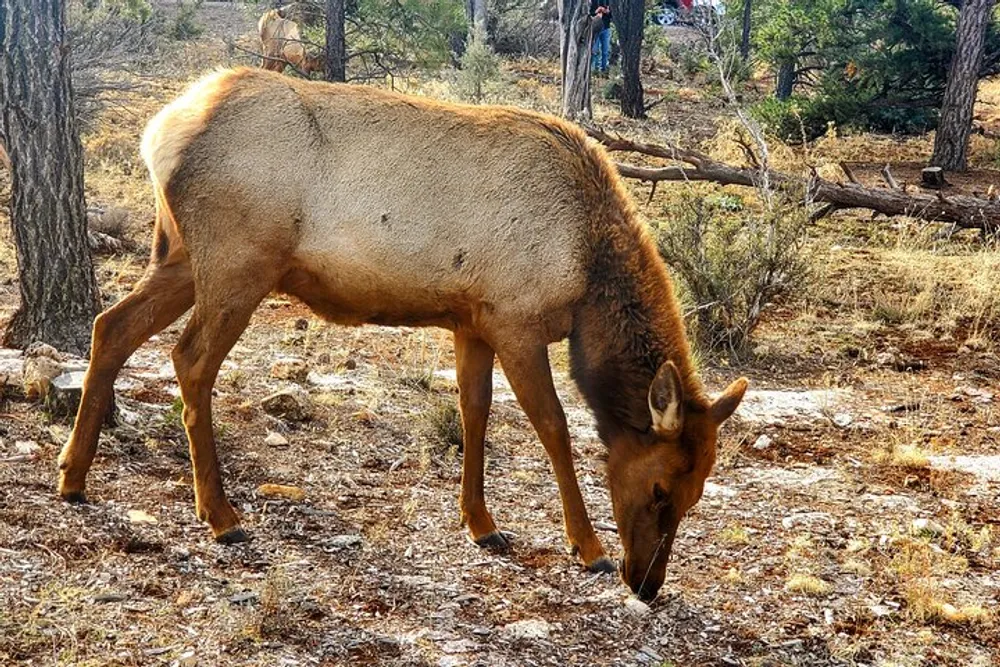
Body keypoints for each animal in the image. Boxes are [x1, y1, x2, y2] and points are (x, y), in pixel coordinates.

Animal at [58, 68, 748, 600]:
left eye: (697, 493)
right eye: (659, 488)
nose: (647, 584)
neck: (586, 274)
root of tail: (159, 133)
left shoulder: (472, 321)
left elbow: (475, 413)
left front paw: (482, 524)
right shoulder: (515, 318)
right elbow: (553, 428)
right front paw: (587, 546)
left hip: (178, 255)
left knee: (111, 326)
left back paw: (72, 478)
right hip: (237, 263)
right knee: (189, 358)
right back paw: (221, 516)